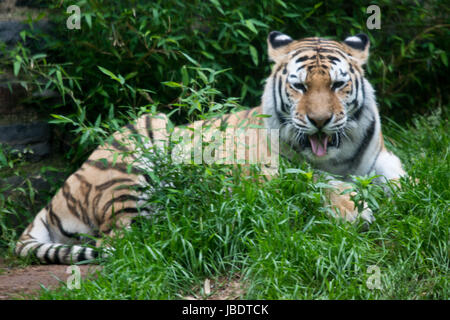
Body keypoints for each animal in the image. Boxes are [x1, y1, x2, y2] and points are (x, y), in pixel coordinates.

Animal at [15, 31, 406, 264]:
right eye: (299, 86)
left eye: (339, 85)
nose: (320, 121)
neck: (338, 155)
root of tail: (54, 199)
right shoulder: (277, 176)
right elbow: (321, 185)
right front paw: (355, 209)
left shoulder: (381, 159)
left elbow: (402, 180)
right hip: (137, 144)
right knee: (120, 239)